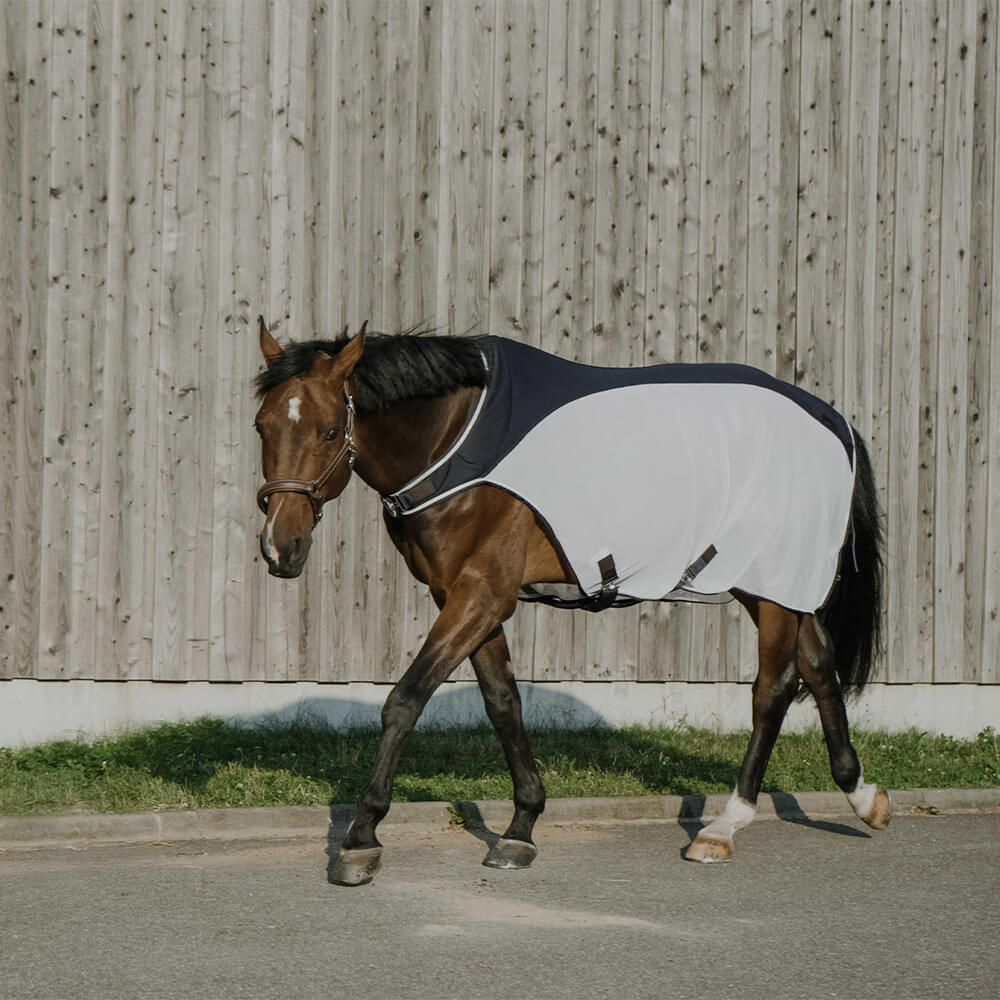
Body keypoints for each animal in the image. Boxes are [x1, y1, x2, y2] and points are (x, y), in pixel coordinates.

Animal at [252, 317, 890, 886]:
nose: (281, 546)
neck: (458, 440)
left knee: (772, 690)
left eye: (330, 431)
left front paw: (361, 839)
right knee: (818, 662)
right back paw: (861, 795)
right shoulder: (465, 596)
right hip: (766, 582)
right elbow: (502, 702)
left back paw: (723, 827)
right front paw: (521, 827)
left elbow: (406, 700)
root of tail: (832, 421)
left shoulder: (481, 594)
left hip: (770, 582)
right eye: (262, 427)